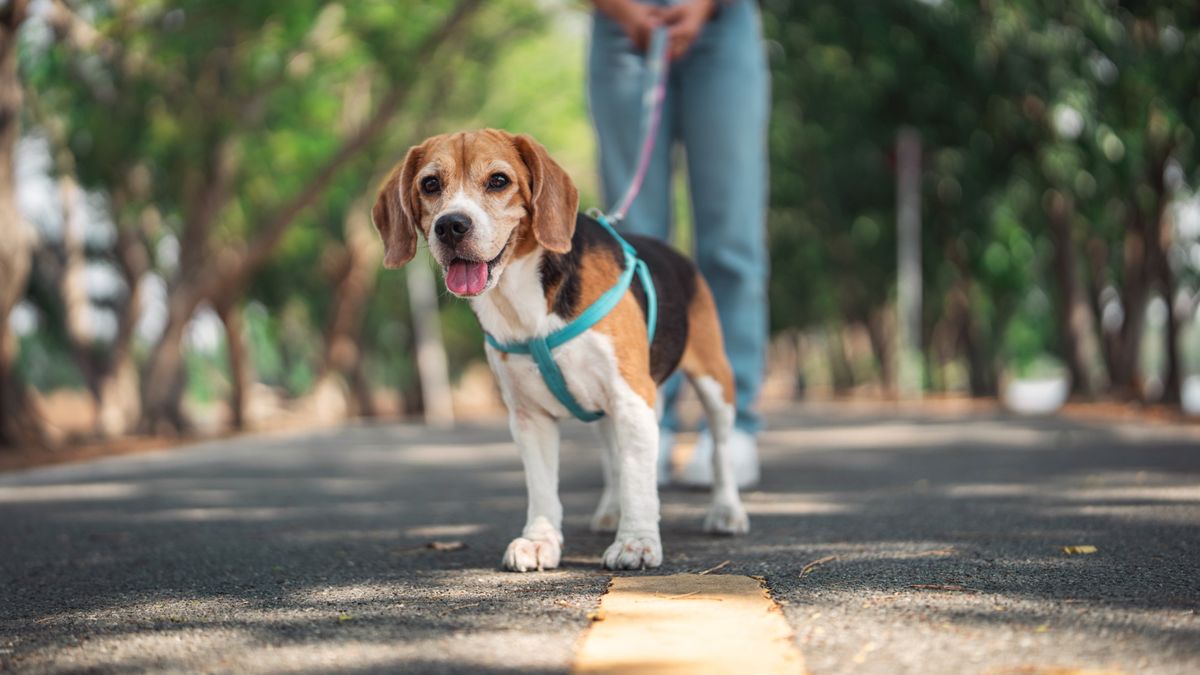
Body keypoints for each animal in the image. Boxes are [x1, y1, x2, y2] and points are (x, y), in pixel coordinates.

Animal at [374, 130, 748, 566]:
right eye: (430, 184)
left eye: (498, 181)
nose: (451, 226)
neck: (522, 300)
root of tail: (675, 253)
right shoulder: (529, 416)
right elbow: (543, 488)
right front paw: (540, 540)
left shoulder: (631, 397)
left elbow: (639, 479)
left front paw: (636, 542)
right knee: (614, 455)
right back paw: (611, 510)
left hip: (714, 383)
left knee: (720, 449)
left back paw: (726, 511)